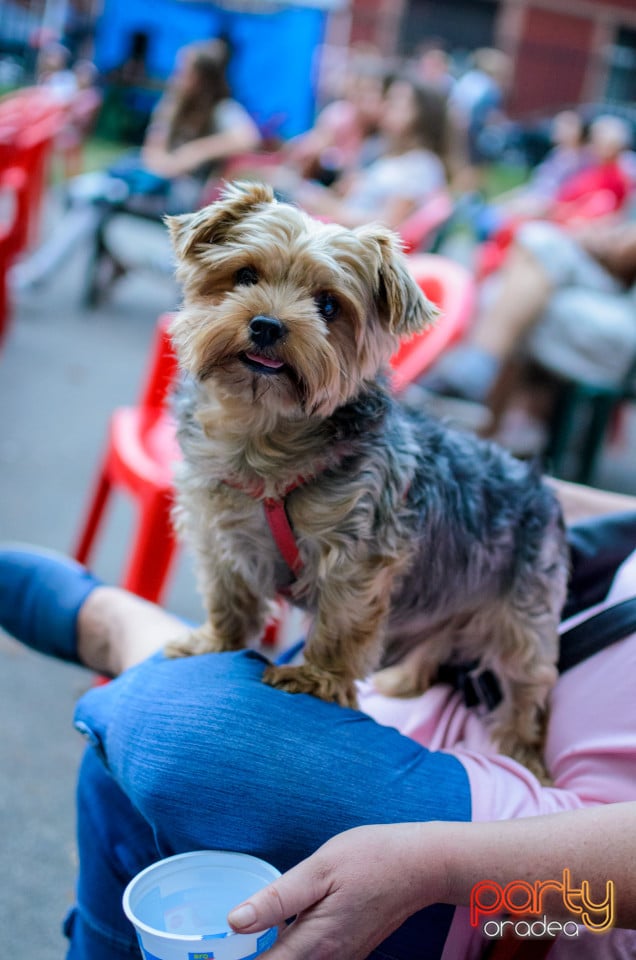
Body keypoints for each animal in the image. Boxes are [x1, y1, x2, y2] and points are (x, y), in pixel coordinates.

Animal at [164, 182, 568, 780]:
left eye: (329, 305)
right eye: (245, 275)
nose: (267, 325)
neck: (265, 445)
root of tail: (540, 483)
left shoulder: (358, 551)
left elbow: (340, 623)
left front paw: (316, 680)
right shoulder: (222, 530)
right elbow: (229, 597)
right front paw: (214, 644)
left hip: (526, 613)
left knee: (529, 686)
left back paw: (523, 752)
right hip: (454, 587)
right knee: (442, 636)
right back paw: (404, 679)